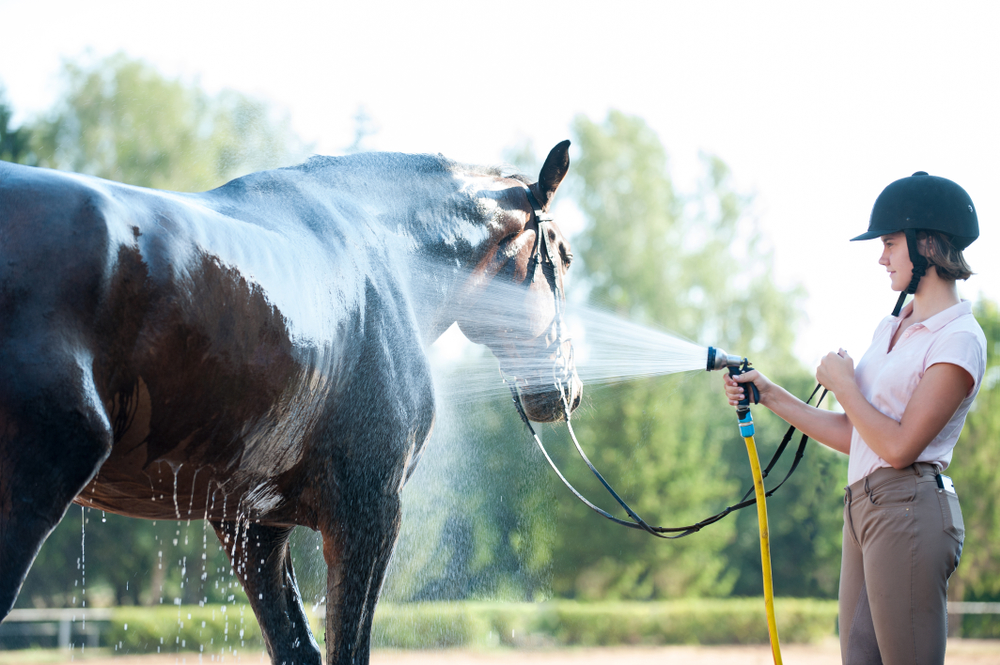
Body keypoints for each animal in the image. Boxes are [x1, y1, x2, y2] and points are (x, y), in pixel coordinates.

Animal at [0, 139, 580, 660]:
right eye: (565, 258)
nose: (569, 391)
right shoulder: (368, 512)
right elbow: (347, 648)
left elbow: (298, 648)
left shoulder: (255, 526)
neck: (387, 250)